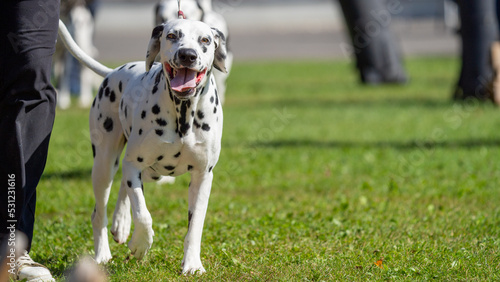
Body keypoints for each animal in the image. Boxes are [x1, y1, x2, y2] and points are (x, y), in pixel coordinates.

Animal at [58, 14, 229, 274]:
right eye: (172, 35)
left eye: (205, 40)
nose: (187, 55)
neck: (182, 113)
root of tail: (113, 72)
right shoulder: (134, 165)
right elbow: (143, 214)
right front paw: (139, 244)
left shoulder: (202, 176)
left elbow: (195, 225)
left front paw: (192, 263)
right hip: (104, 165)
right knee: (100, 212)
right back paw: (103, 253)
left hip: (153, 173)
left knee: (123, 187)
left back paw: (120, 223)